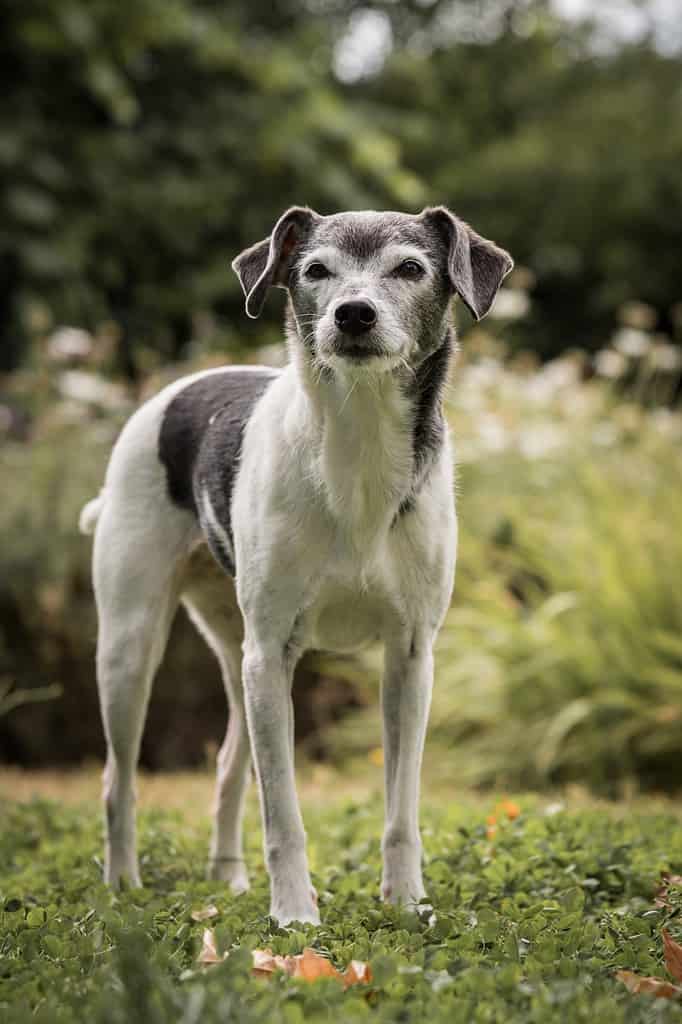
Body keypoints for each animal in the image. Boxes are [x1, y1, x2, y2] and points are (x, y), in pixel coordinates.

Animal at [78, 207, 509, 929]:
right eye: (315, 270)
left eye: (410, 269)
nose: (354, 314)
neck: (357, 454)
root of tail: (177, 390)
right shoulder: (272, 654)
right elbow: (283, 813)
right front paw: (294, 916)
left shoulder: (410, 659)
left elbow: (401, 811)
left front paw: (406, 903)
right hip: (135, 647)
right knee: (119, 779)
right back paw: (123, 885)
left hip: (236, 654)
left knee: (228, 762)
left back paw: (227, 878)